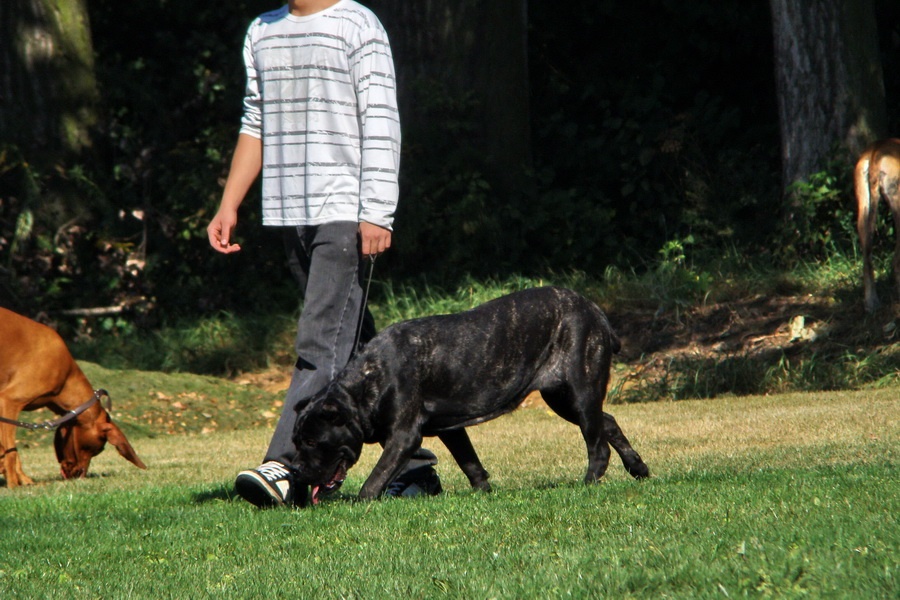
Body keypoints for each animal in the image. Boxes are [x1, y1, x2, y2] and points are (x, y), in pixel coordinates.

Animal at [0, 308, 146, 486]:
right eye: (99, 449)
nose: (80, 475)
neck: (66, 377)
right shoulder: (10, 401)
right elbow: (11, 452)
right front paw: (13, 484)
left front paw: (22, 478)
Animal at [292, 286, 652, 502]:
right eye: (296, 441)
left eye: (311, 441)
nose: (295, 470)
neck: (363, 386)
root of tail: (594, 309)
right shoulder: (450, 428)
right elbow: (470, 462)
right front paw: (485, 492)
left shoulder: (404, 437)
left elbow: (377, 475)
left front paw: (361, 503)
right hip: (564, 399)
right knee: (608, 422)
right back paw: (638, 469)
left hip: (578, 391)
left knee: (597, 443)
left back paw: (589, 482)